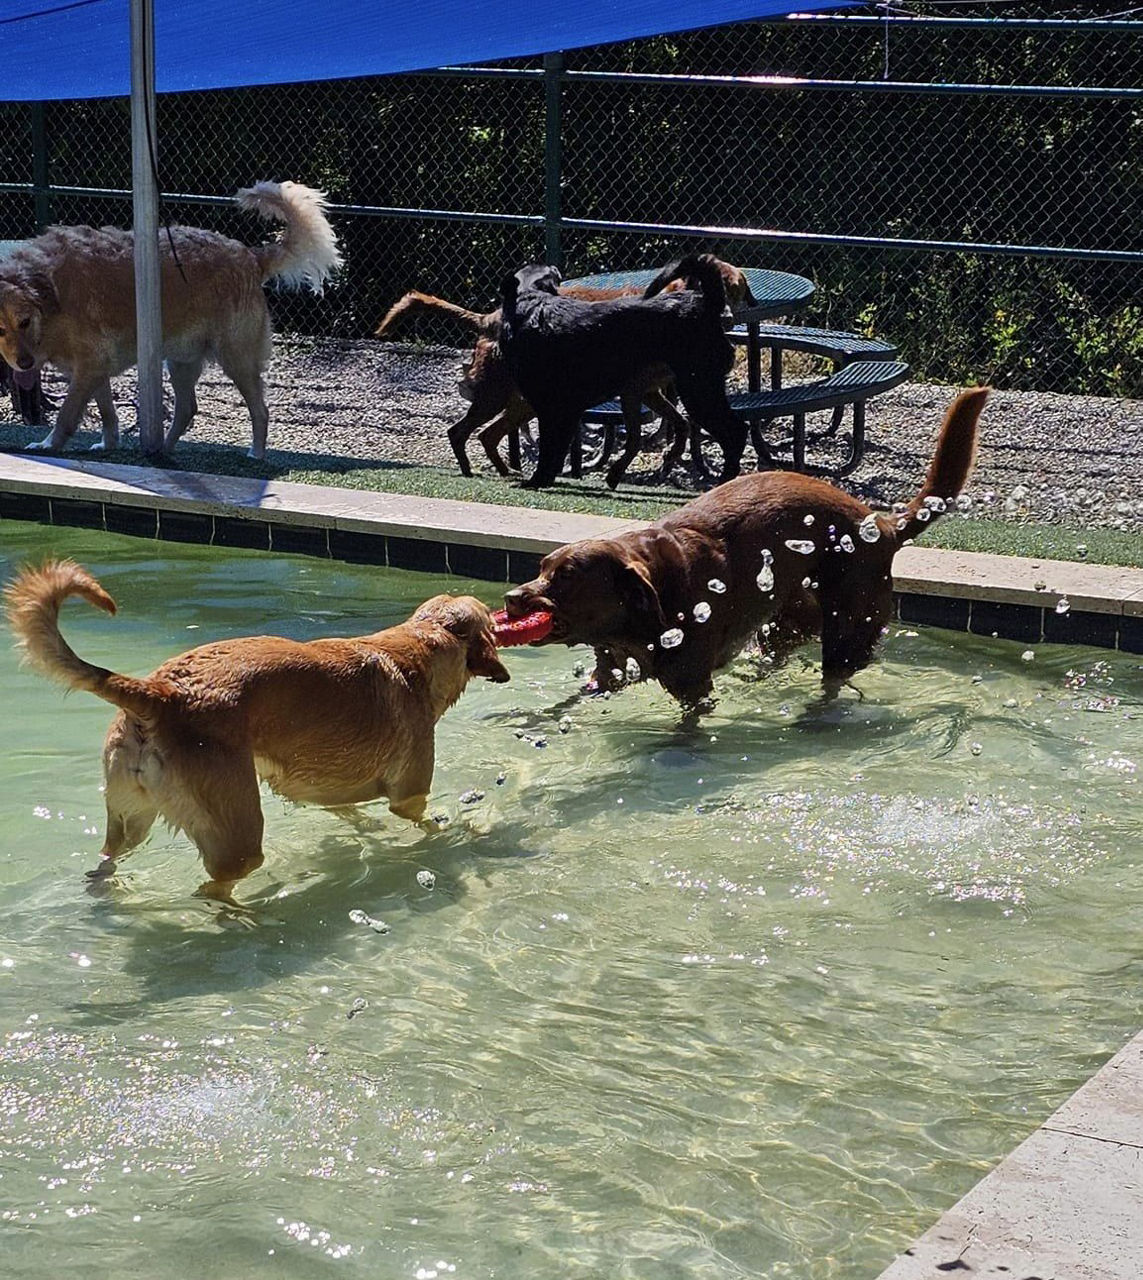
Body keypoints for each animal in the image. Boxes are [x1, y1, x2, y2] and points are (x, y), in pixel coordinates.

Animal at [3, 565, 511, 906]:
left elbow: (348, 810)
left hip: (131, 817)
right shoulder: (409, 793)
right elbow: (422, 820)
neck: (422, 646)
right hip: (238, 835)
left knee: (107, 861)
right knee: (211, 888)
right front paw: (454, 831)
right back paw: (247, 914)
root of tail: (161, 693)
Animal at [496, 253, 757, 488]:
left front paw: (537, 480)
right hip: (646, 393)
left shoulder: (552, 408)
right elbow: (558, 450)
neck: (531, 303)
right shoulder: (568, 410)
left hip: (698, 391)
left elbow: (549, 449)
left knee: (735, 432)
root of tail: (709, 304)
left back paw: (725, 480)